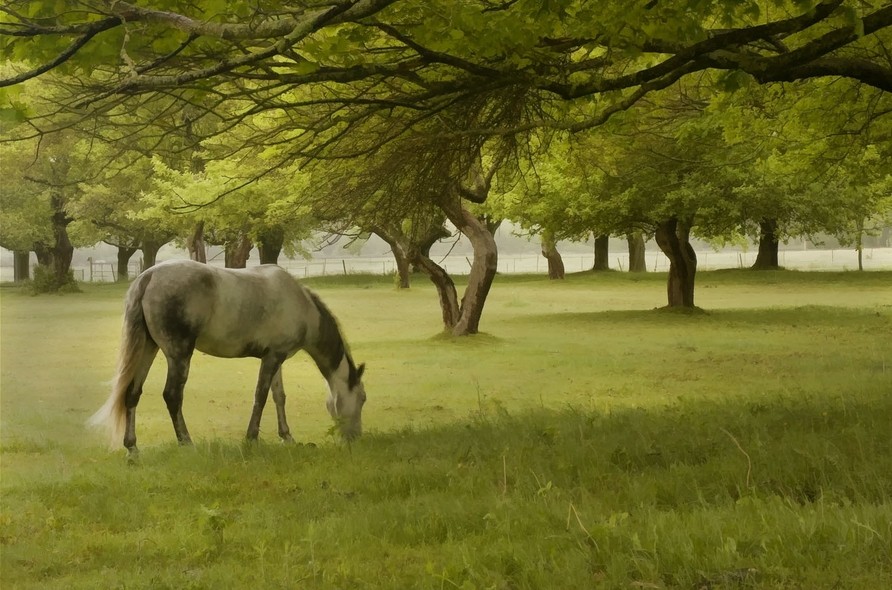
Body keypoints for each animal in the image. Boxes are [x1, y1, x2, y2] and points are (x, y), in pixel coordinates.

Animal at [89, 260, 368, 458]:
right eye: (363, 398)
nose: (356, 438)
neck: (303, 306)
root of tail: (149, 277)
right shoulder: (272, 358)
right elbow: (261, 397)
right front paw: (252, 438)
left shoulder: (275, 357)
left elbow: (279, 397)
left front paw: (287, 437)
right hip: (178, 354)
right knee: (172, 395)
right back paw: (186, 443)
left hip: (148, 348)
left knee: (132, 394)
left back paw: (132, 448)